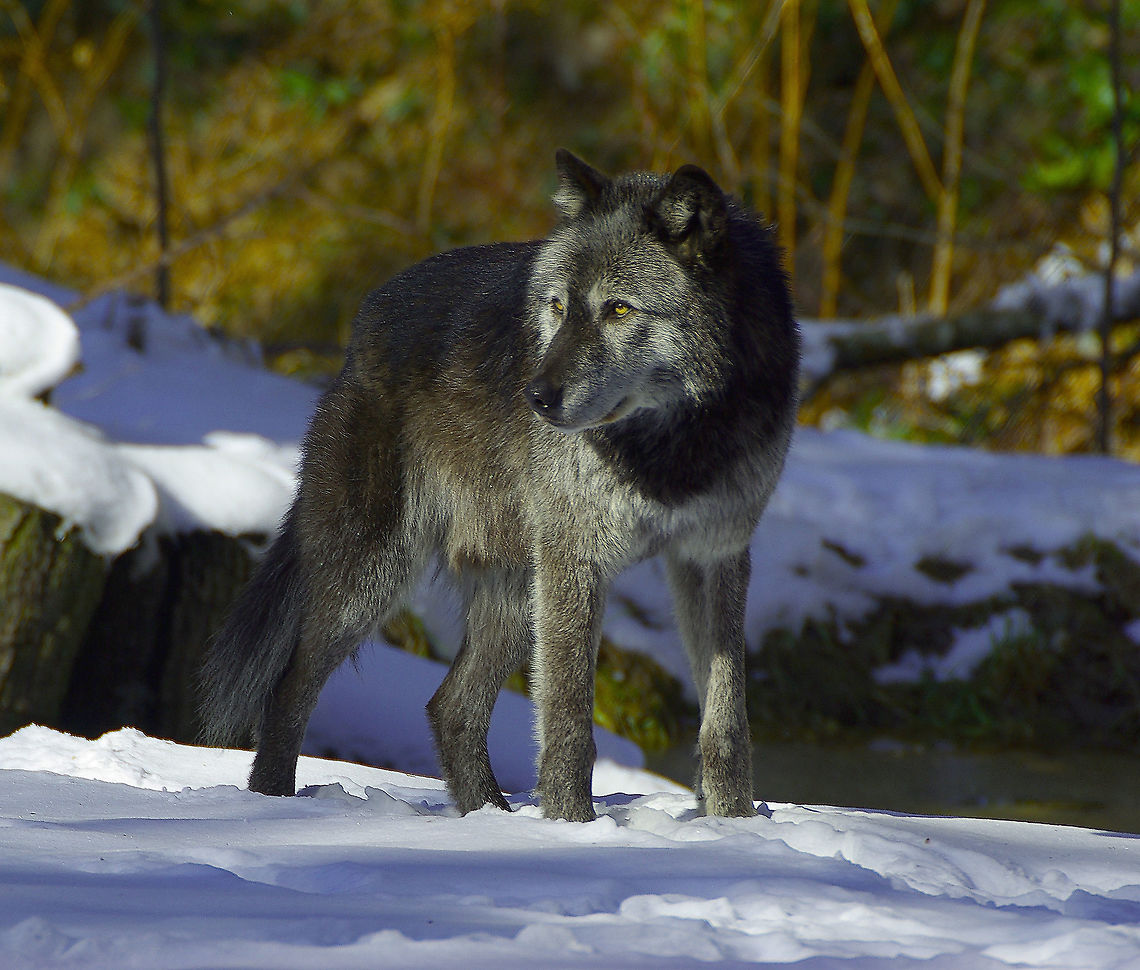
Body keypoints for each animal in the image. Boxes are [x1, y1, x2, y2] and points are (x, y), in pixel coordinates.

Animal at [199, 150, 800, 821]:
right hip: (374, 575)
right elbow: (568, 720)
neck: (672, 448)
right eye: (558, 307)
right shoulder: (576, 558)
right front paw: (573, 826)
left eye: (619, 309)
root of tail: (362, 324)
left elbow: (726, 719)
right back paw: (275, 805)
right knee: (289, 689)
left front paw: (735, 822)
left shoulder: (714, 557)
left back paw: (487, 818)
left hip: (514, 595)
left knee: (450, 708)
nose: (535, 396)